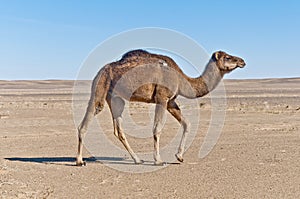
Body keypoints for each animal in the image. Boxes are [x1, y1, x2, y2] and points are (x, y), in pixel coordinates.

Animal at [75, 49, 246, 166]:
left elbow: (187, 123)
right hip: (101, 86)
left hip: (116, 98)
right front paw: (158, 160)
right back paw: (79, 161)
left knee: (118, 130)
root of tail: (100, 71)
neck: (182, 80)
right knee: (87, 120)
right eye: (227, 57)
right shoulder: (162, 98)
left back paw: (137, 159)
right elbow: (157, 128)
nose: (242, 61)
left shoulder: (171, 102)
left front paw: (179, 156)